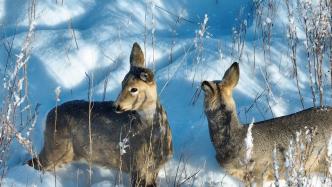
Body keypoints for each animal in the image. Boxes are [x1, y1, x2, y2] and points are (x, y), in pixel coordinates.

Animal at [27, 42, 174, 187]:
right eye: (122, 83)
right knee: (34, 163)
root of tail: (49, 115)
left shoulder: (152, 169)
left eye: (134, 89)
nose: (116, 106)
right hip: (57, 148)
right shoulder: (136, 164)